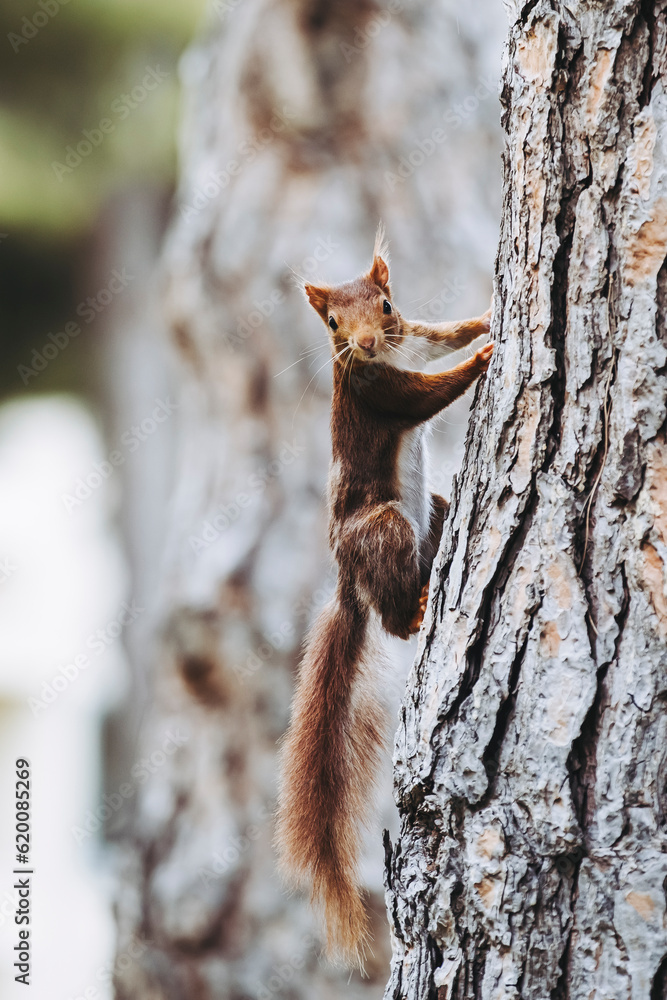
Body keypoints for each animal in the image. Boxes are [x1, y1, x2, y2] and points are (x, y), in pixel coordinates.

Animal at [275, 227, 493, 969]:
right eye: (333, 325)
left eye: (387, 305)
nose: (367, 344)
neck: (382, 357)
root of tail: (348, 573)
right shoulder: (380, 390)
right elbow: (427, 396)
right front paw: (484, 358)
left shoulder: (413, 339)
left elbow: (441, 334)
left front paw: (485, 321)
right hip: (387, 526)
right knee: (393, 622)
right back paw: (419, 610)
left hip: (431, 508)